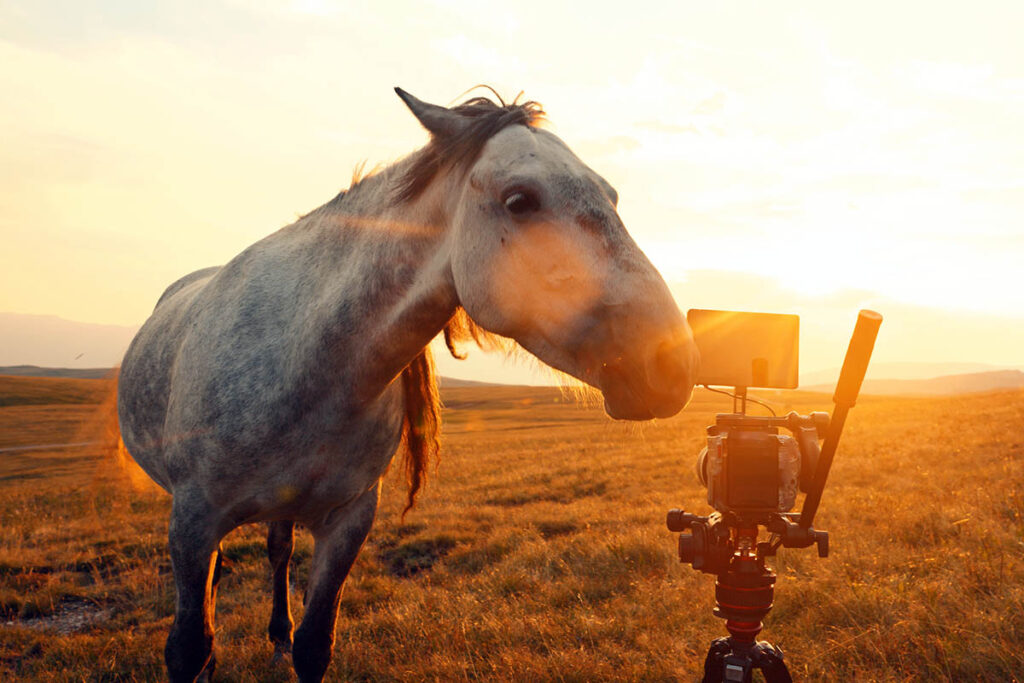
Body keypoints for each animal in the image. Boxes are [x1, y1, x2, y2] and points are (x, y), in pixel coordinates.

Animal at [116, 88, 700, 679]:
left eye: (612, 196)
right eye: (519, 200)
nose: (673, 362)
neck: (304, 368)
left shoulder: (348, 521)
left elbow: (313, 644)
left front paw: (288, 642)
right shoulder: (193, 521)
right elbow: (188, 647)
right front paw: (205, 657)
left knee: (278, 553)